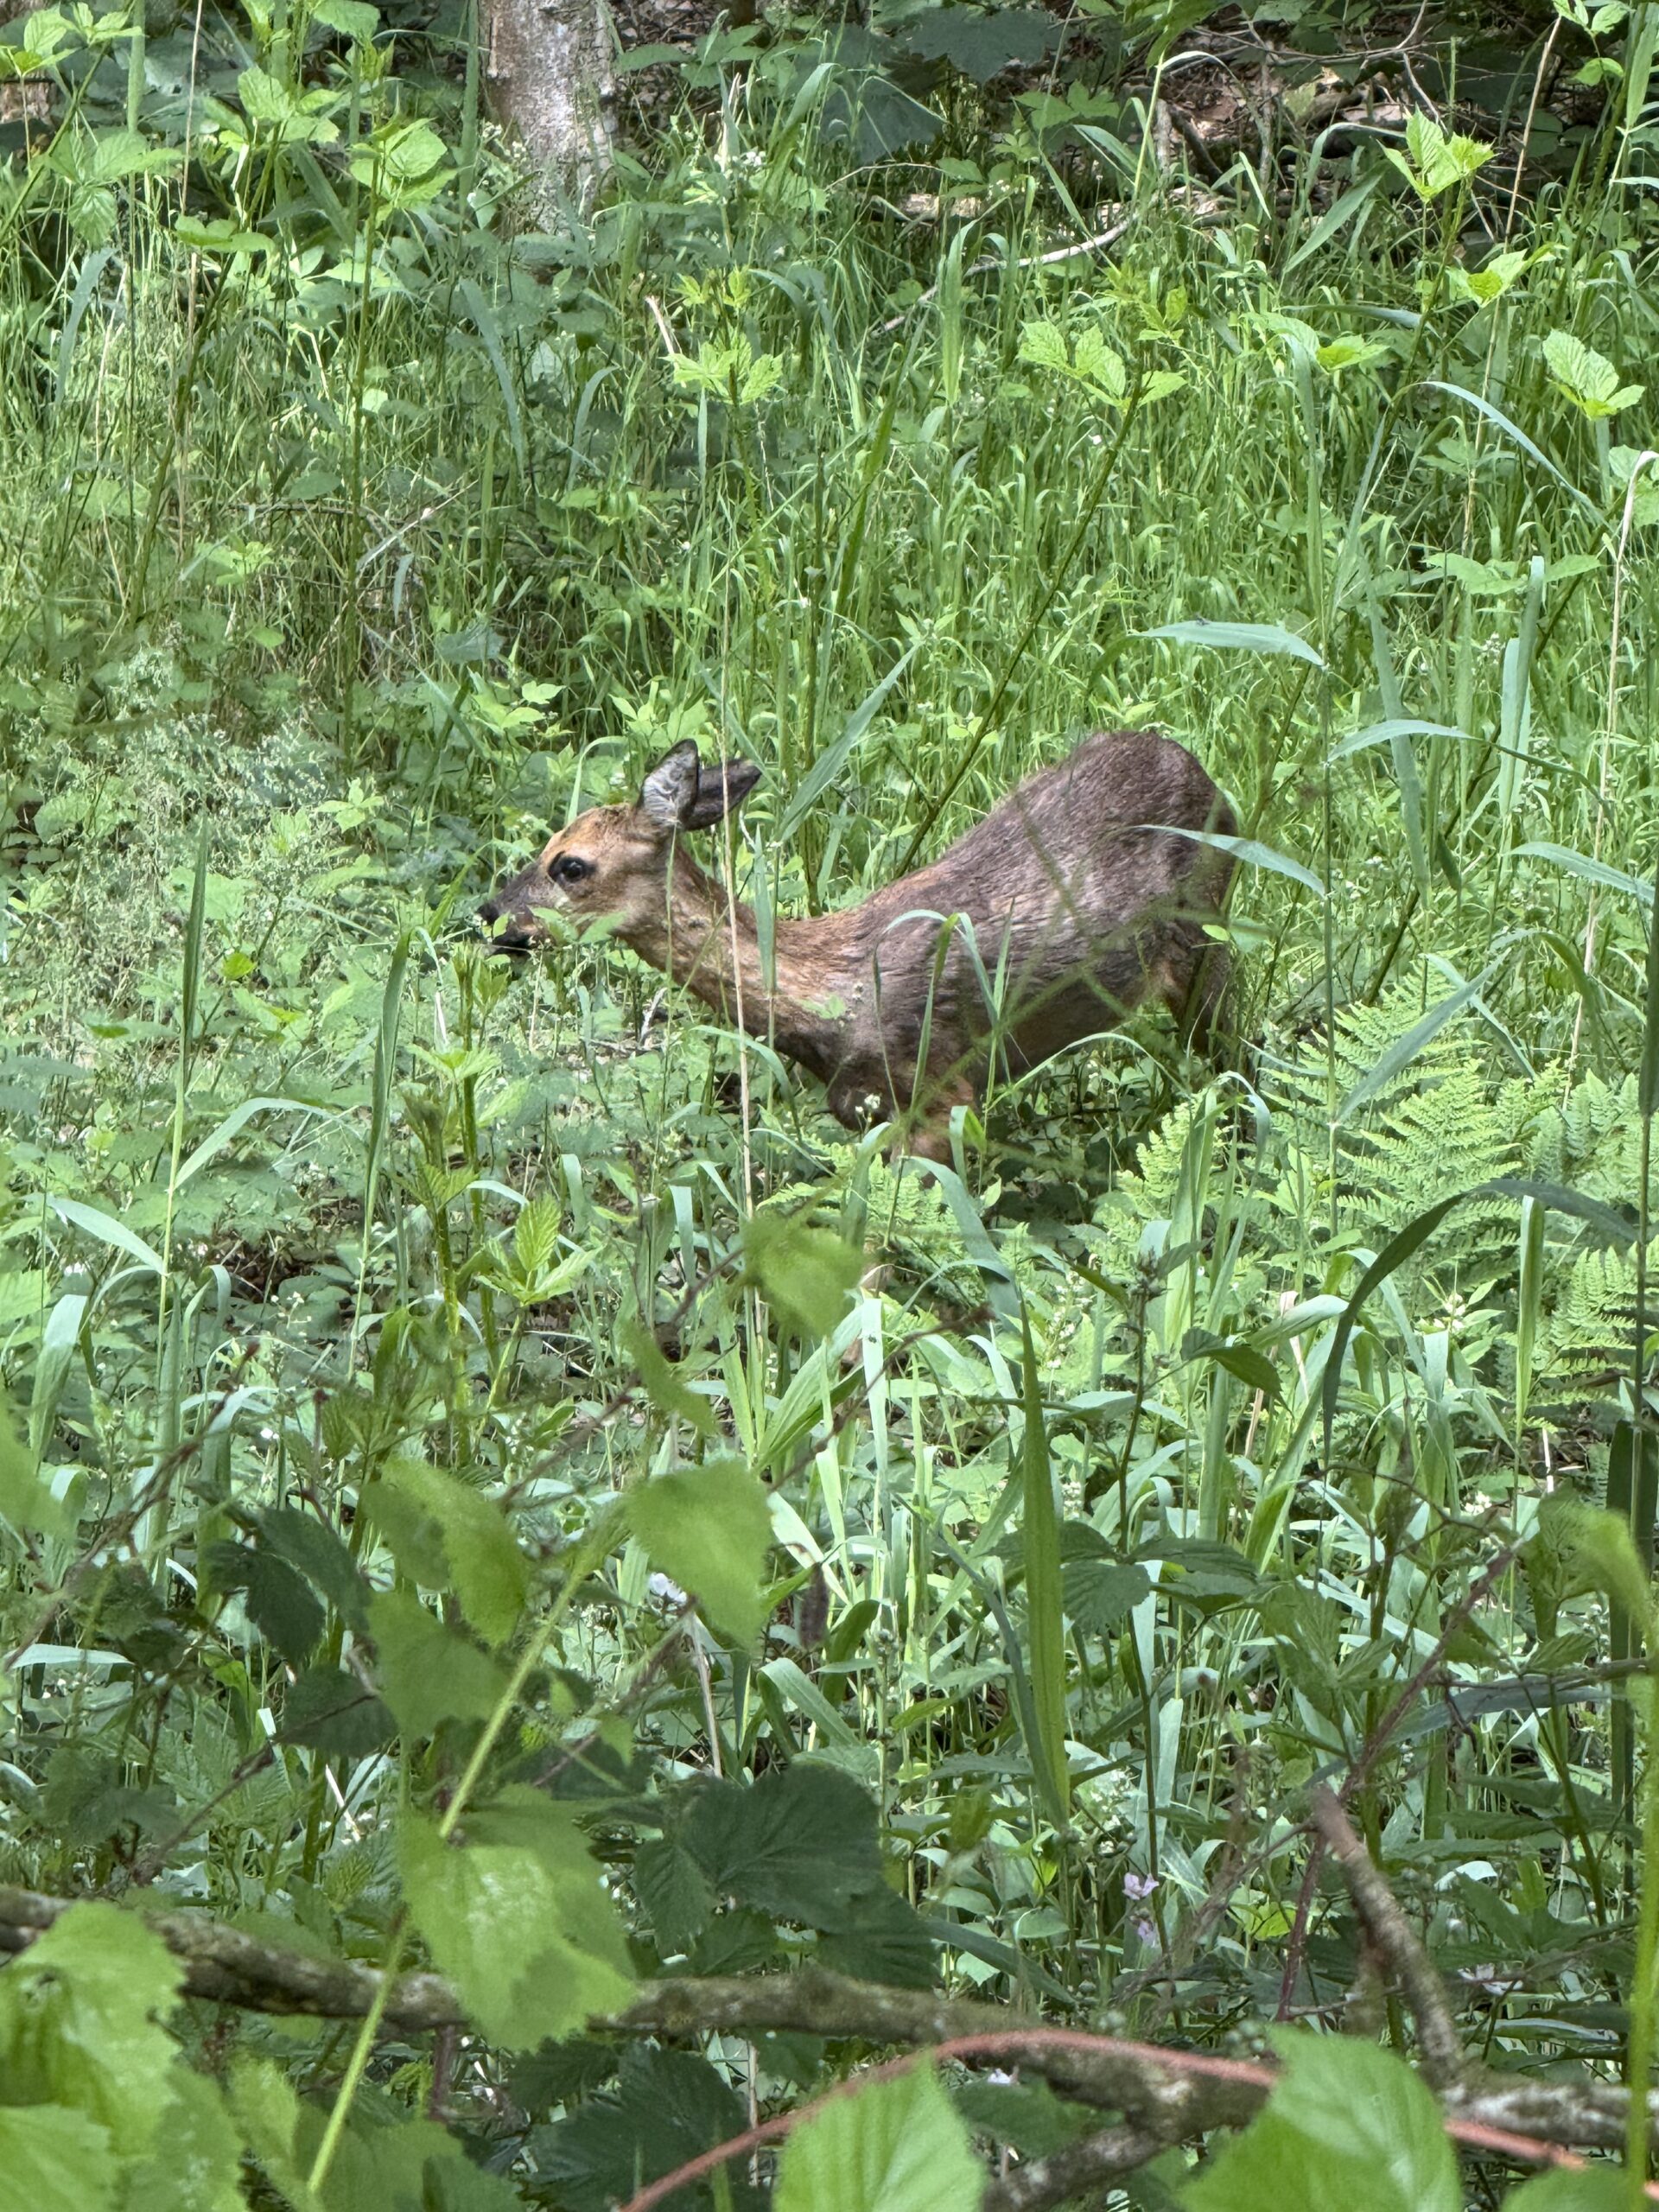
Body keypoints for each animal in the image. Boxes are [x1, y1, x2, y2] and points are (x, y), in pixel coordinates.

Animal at [479, 729, 1237, 1160]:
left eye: (569, 865)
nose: (489, 915)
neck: (828, 997)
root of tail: (1202, 771)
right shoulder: (866, 1109)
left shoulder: (941, 1090)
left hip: (1205, 934)